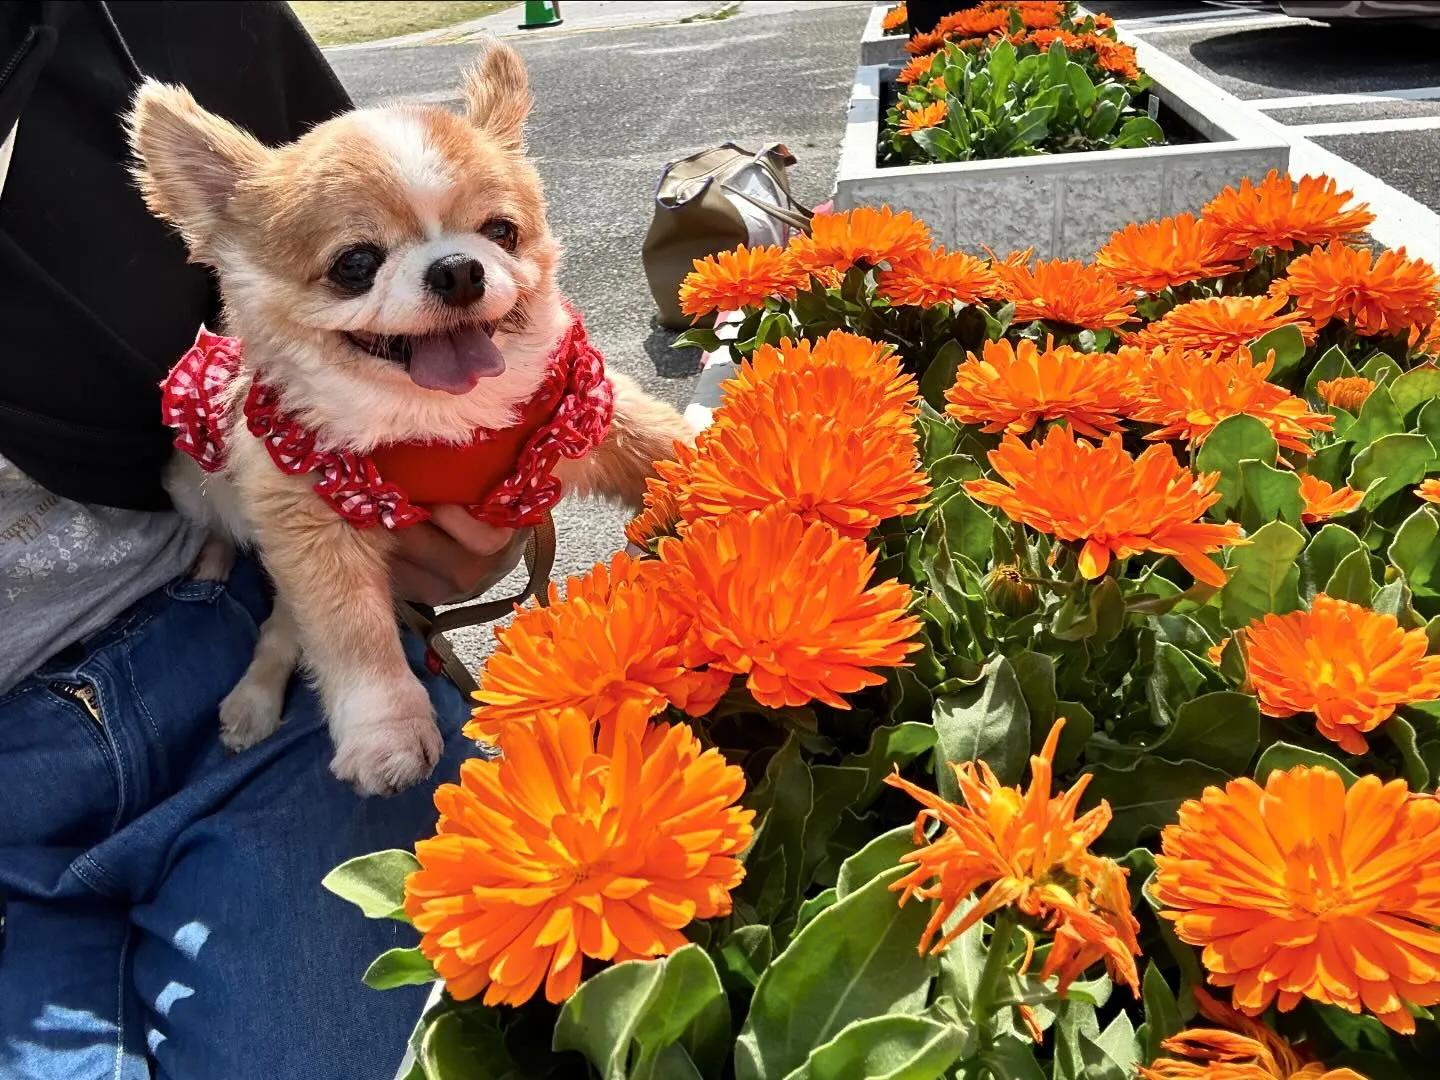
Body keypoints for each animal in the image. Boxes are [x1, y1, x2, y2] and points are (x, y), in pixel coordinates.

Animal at [126, 46, 688, 794]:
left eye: (501, 231)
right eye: (356, 263)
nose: (458, 269)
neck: (442, 420)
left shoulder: (575, 412)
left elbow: (665, 442)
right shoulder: (310, 509)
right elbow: (352, 631)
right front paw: (385, 732)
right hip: (202, 488)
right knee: (262, 592)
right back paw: (239, 662)